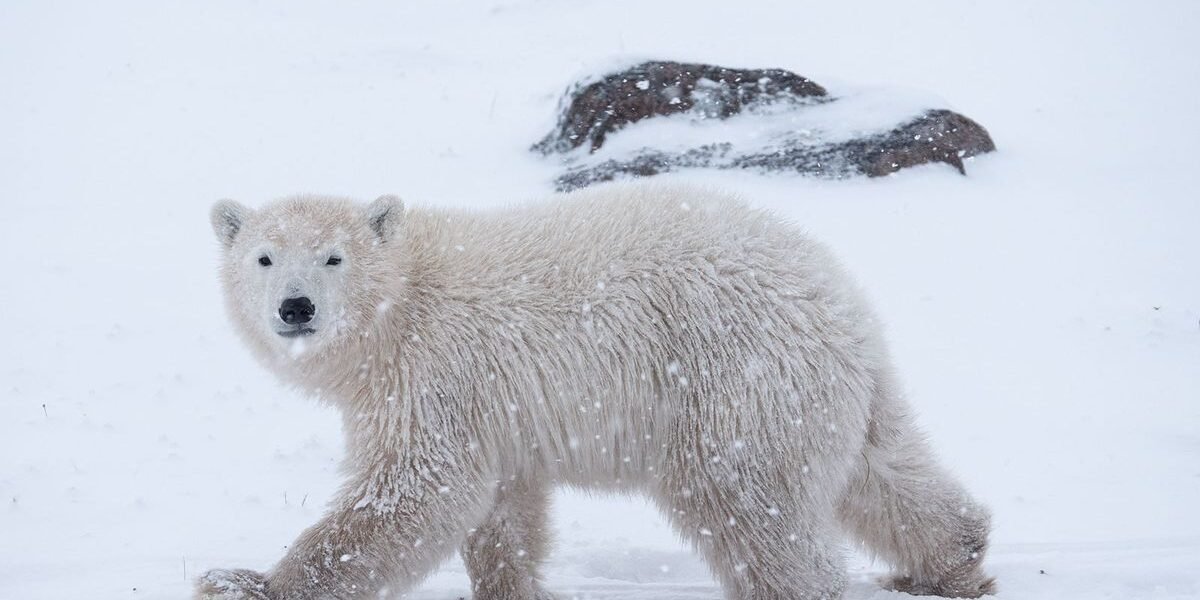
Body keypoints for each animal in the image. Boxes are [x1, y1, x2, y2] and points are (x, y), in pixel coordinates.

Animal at [204, 182, 993, 600]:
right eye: (263, 257)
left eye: (333, 258)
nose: (295, 308)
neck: (401, 305)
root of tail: (841, 304)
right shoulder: (496, 405)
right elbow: (503, 508)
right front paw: (512, 588)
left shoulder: (435, 371)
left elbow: (416, 489)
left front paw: (249, 581)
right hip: (816, 391)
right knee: (882, 471)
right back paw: (952, 561)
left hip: (732, 381)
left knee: (751, 506)